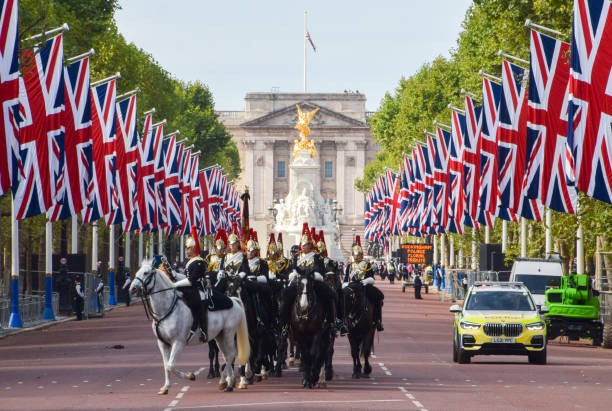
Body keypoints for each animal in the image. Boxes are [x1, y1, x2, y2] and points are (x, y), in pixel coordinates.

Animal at [130, 260, 250, 396]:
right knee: (227, 355)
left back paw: (228, 382)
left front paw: (190, 376)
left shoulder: (178, 342)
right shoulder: (162, 343)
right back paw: (227, 382)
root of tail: (234, 300)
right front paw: (166, 387)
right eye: (138, 272)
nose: (132, 288)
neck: (166, 310)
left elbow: (171, 365)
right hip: (219, 337)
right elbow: (166, 365)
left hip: (228, 333)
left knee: (231, 354)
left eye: (146, 273)